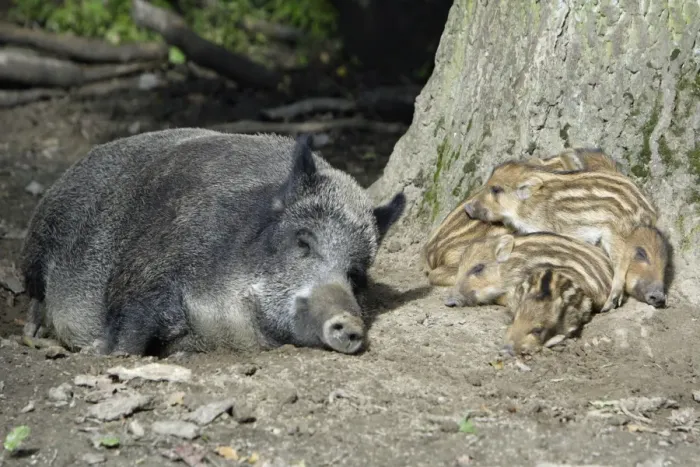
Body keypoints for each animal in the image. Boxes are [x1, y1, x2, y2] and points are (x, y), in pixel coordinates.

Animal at [19, 129, 406, 357]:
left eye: (355, 274)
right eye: (303, 242)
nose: (350, 323)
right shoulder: (146, 272)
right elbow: (129, 332)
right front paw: (104, 352)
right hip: (37, 245)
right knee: (35, 295)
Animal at [461, 161, 665, 312]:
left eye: (496, 189)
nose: (467, 209)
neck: (528, 205)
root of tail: (648, 210)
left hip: (616, 235)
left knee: (622, 264)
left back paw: (609, 304)